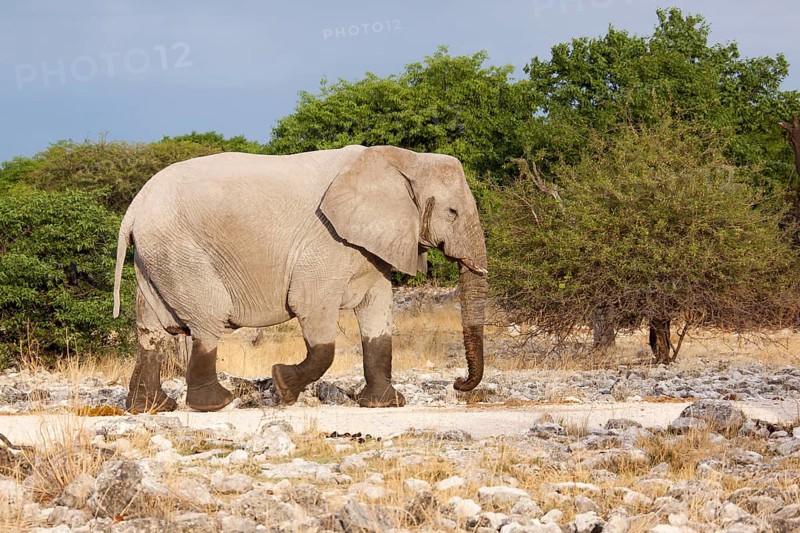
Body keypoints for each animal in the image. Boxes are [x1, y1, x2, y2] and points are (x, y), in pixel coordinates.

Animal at [112, 145, 488, 412]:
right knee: (207, 318)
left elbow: (377, 311)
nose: (458, 383)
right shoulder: (326, 241)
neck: (403, 159)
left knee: (151, 329)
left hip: (155, 258)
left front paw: (386, 404)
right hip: (179, 252)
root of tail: (133, 209)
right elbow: (311, 309)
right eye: (452, 213)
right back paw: (216, 403)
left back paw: (150, 408)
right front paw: (283, 384)